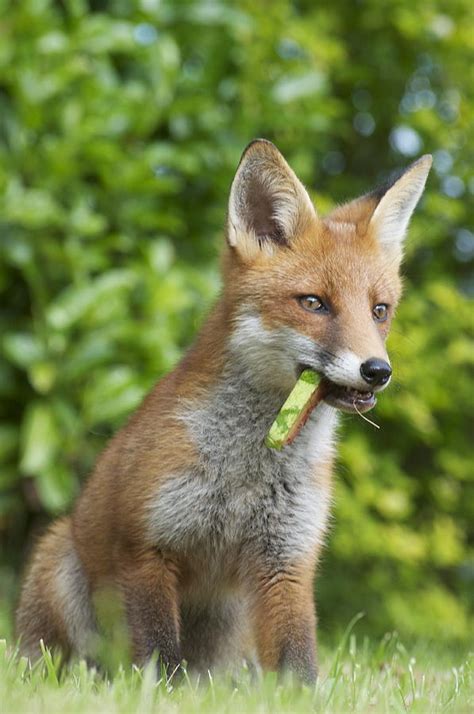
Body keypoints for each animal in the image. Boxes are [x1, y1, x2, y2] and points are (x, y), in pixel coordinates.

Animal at [16, 138, 432, 680]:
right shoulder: (145, 548)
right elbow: (159, 658)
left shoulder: (287, 560)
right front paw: (159, 693)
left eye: (379, 311)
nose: (377, 370)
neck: (246, 471)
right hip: (59, 558)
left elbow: (299, 665)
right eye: (314, 303)